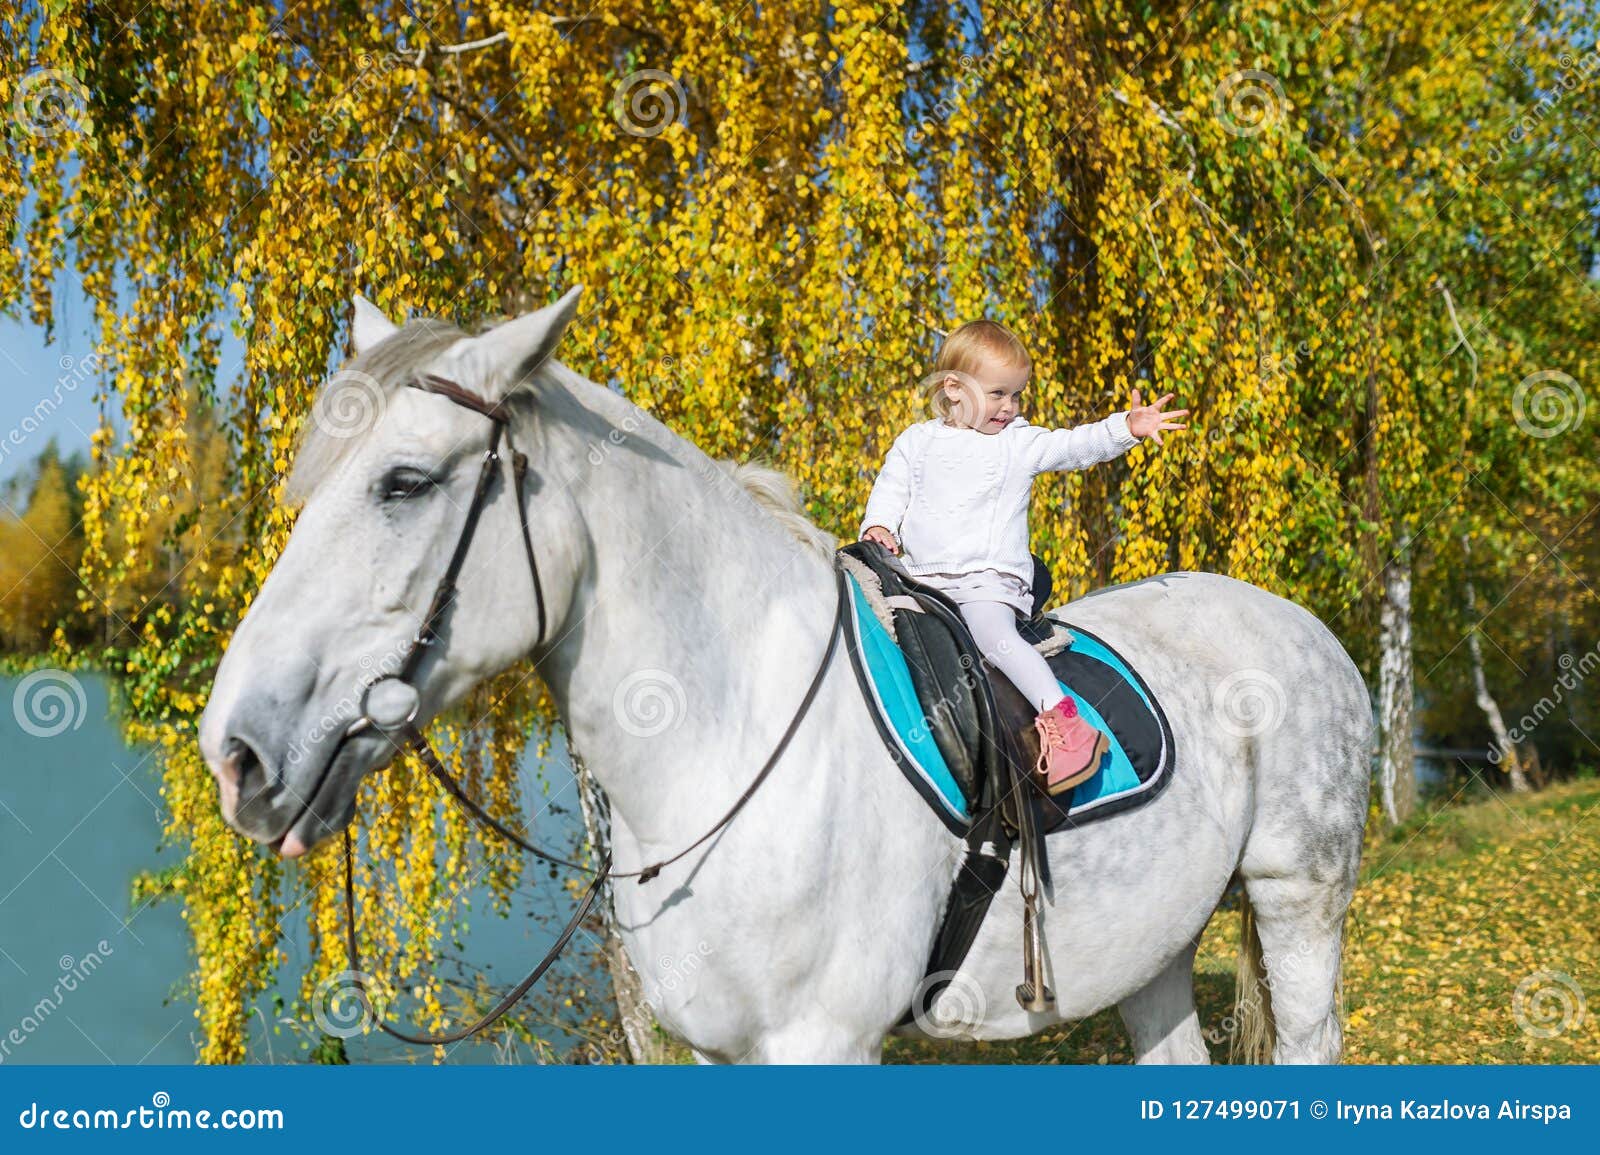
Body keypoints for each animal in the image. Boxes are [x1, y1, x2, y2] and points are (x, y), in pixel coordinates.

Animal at [203, 289, 1376, 1062]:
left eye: (403, 483)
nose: (236, 751)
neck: (729, 738)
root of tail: (1299, 626)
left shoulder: (824, 1042)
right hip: (1157, 944)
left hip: (1299, 898)